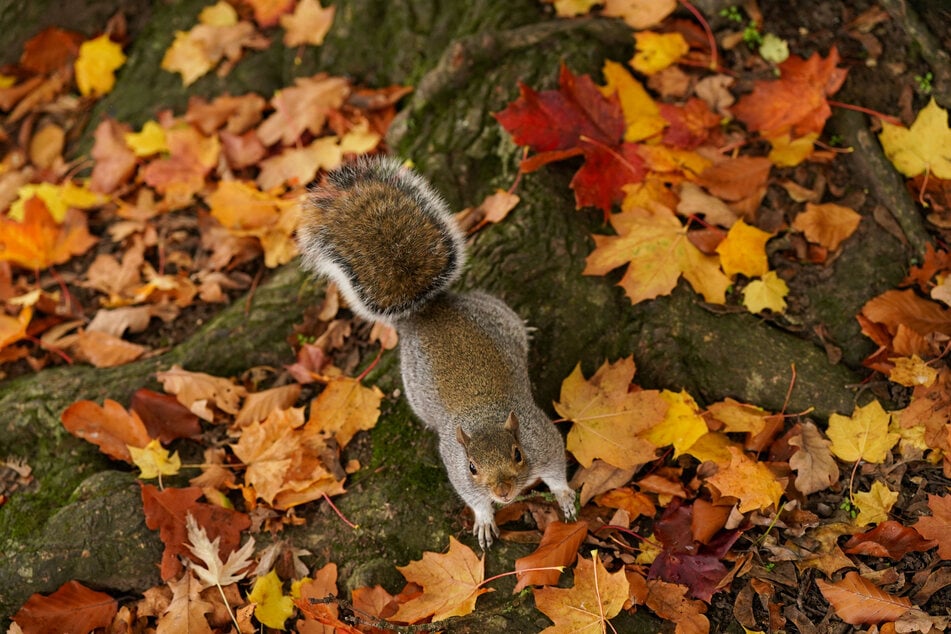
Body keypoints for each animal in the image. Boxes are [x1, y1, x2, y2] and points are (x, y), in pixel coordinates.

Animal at [298, 156, 580, 544]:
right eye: (472, 467)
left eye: (518, 454)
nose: (504, 492)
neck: (484, 417)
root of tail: (429, 310)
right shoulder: (456, 467)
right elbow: (472, 498)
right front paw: (484, 519)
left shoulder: (542, 438)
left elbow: (555, 470)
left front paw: (564, 496)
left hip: (496, 312)